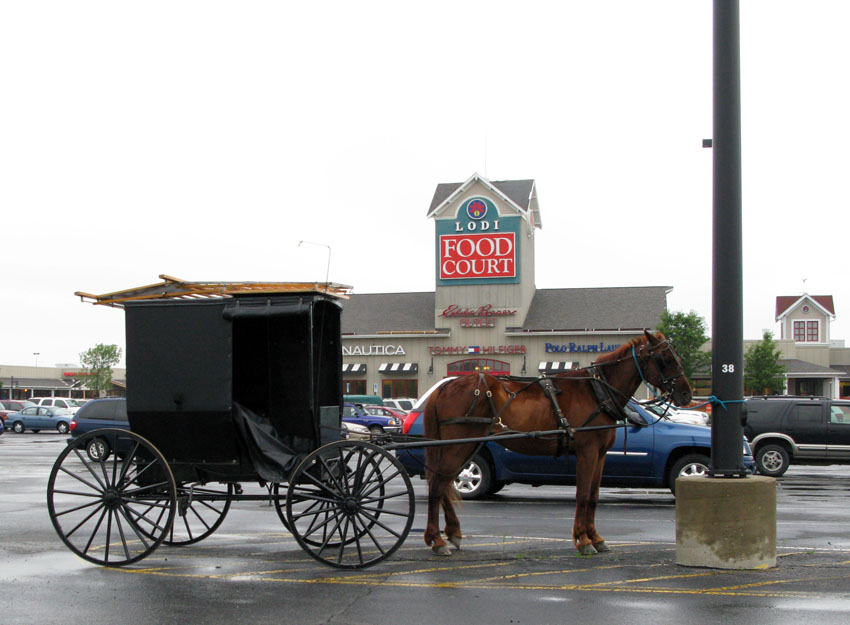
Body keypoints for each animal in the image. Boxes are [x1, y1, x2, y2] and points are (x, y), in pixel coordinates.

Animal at [420, 332, 692, 556]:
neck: (597, 392)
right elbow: (583, 494)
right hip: (458, 446)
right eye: (665, 359)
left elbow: (593, 496)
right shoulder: (587, 451)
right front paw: (583, 540)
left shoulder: (601, 454)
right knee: (438, 485)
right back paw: (437, 540)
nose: (686, 394)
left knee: (444, 484)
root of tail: (444, 387)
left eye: (677, 357)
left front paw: (596, 538)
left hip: (465, 446)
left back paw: (452, 533)